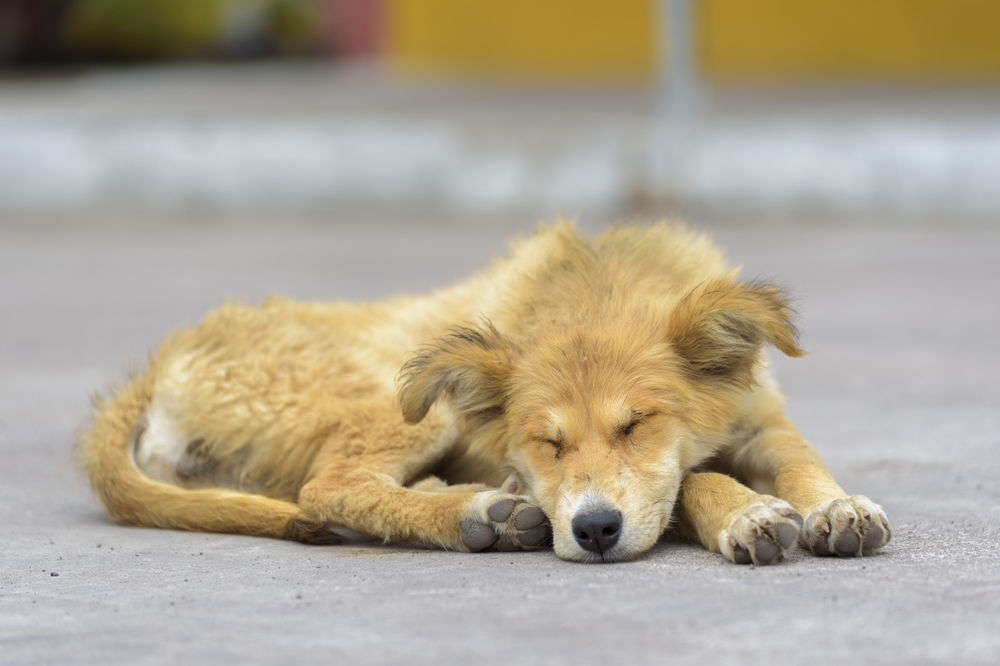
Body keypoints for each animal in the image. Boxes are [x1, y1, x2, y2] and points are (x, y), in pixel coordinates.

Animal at [78, 222, 892, 560]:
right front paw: (746, 515)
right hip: (412, 401)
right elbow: (690, 481)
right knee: (328, 488)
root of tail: (164, 357)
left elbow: (800, 461)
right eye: (547, 441)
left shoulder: (759, 420)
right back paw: (480, 515)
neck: (599, 288)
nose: (594, 532)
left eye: (636, 424)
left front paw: (836, 507)